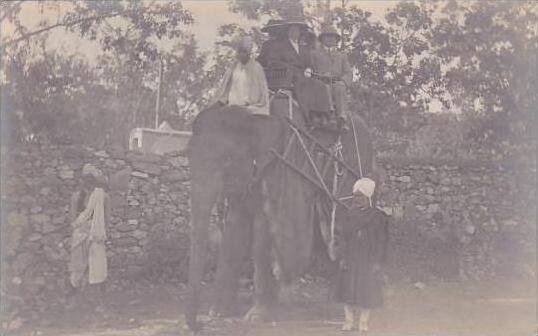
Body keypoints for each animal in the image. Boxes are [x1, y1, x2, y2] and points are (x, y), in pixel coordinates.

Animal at [184, 94, 372, 330]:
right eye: (189, 161)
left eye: (227, 162)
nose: (199, 326)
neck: (252, 118)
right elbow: (234, 235)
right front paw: (218, 313)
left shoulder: (276, 166)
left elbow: (262, 234)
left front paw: (256, 317)